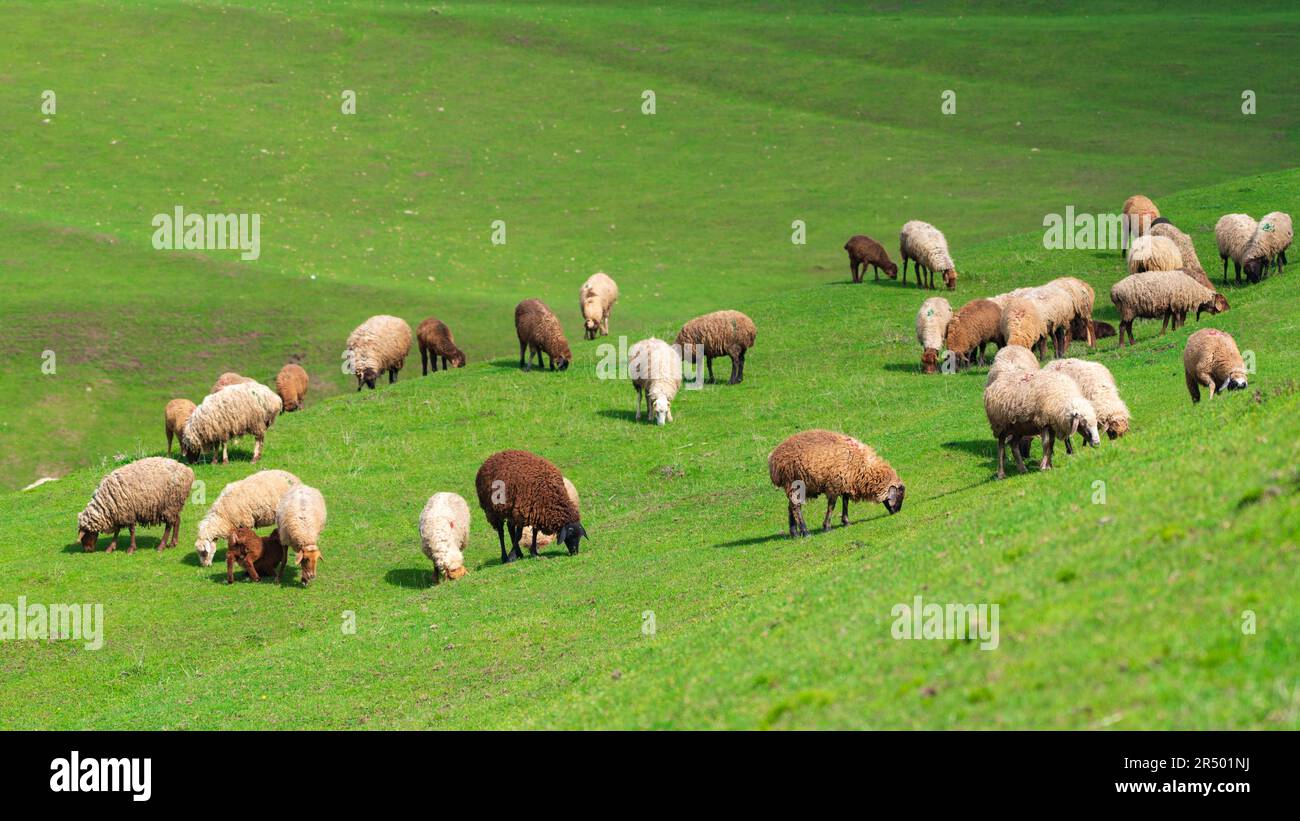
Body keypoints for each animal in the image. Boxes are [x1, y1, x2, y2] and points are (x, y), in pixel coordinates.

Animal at [767, 429, 904, 538]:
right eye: (899, 495)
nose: (897, 512)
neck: (863, 467)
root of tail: (773, 459)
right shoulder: (834, 485)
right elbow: (832, 506)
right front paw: (827, 527)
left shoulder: (846, 483)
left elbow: (845, 501)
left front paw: (846, 521)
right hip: (794, 482)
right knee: (796, 507)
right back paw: (805, 532)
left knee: (791, 506)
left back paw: (794, 533)